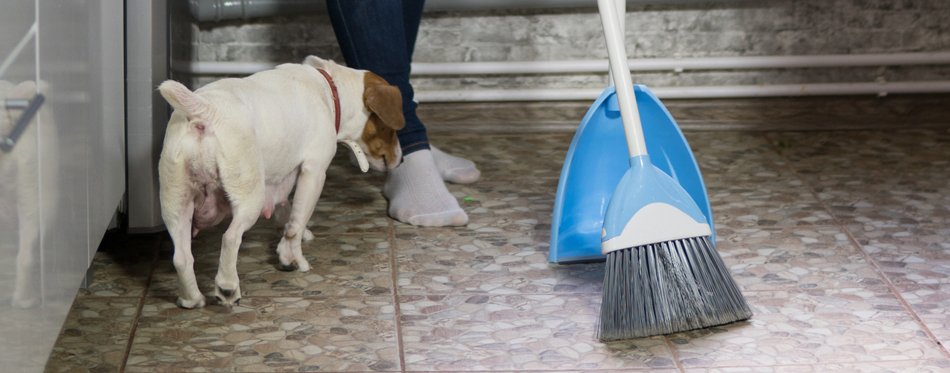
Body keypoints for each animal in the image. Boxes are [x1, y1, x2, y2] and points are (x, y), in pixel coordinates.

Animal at [158, 54, 404, 306]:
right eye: (389, 128)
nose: (401, 159)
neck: (330, 89)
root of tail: (206, 110)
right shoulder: (314, 172)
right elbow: (296, 223)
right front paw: (292, 257)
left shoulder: (283, 179)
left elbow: (287, 210)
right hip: (249, 196)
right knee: (230, 238)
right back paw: (228, 287)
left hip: (176, 202)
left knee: (182, 257)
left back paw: (191, 299)